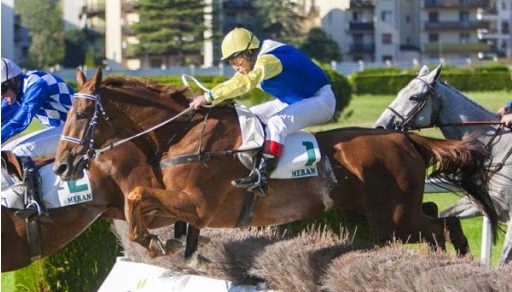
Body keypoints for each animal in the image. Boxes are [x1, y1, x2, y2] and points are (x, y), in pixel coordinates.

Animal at [52, 68, 496, 262]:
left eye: (80, 113)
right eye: (67, 111)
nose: (60, 167)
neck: (184, 135)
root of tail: (403, 137)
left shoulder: (199, 204)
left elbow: (137, 197)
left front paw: (152, 242)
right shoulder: (179, 203)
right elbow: (139, 204)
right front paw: (167, 242)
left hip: (393, 219)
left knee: (442, 228)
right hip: (386, 211)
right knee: (438, 216)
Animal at [374, 63, 510, 264]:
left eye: (414, 97)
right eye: (400, 92)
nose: (380, 126)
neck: (497, 148)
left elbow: (504, 260)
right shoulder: (483, 204)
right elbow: (446, 216)